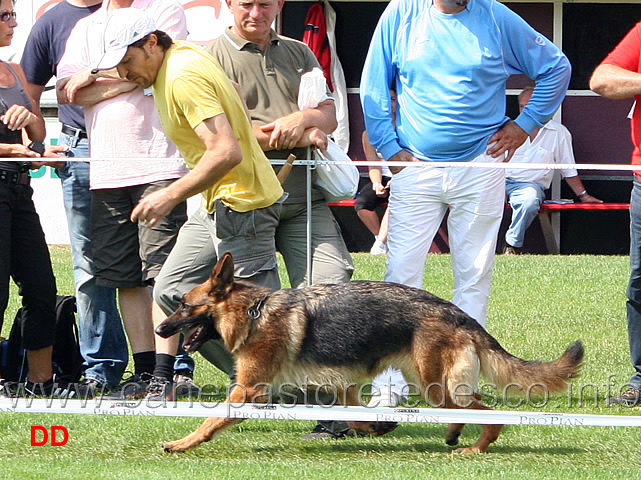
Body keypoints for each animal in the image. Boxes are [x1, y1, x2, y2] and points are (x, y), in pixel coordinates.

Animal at [156, 253, 584, 456]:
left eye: (184, 306)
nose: (160, 331)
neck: (253, 313)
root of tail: (458, 313)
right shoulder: (343, 388)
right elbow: (356, 416)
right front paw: (378, 426)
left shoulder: (249, 390)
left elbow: (211, 419)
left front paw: (182, 443)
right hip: (431, 383)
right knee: (472, 409)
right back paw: (454, 434)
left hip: (433, 386)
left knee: (489, 414)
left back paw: (475, 447)